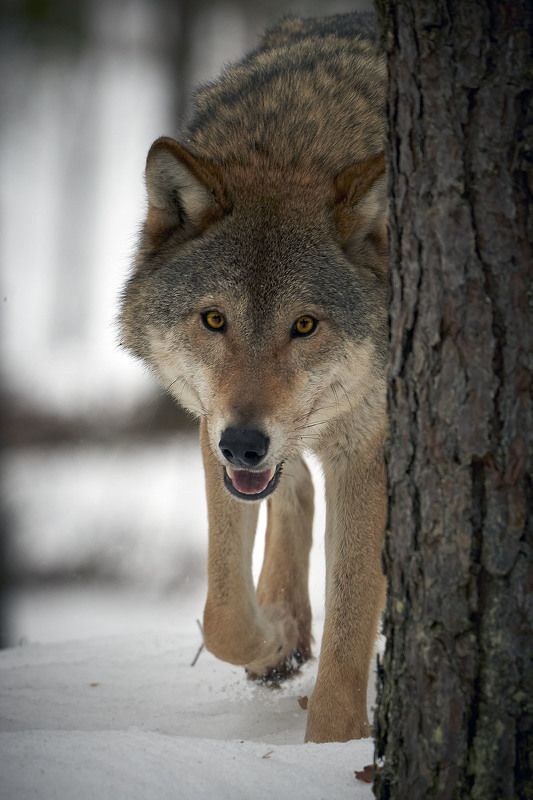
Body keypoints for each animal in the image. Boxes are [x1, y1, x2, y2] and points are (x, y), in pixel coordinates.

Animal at [119, 12, 387, 743]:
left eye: (304, 325)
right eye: (214, 319)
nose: (244, 445)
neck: (293, 149)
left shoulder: (368, 448)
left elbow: (351, 626)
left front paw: (330, 745)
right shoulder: (210, 422)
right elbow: (221, 617)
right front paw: (274, 640)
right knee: (293, 492)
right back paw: (286, 627)